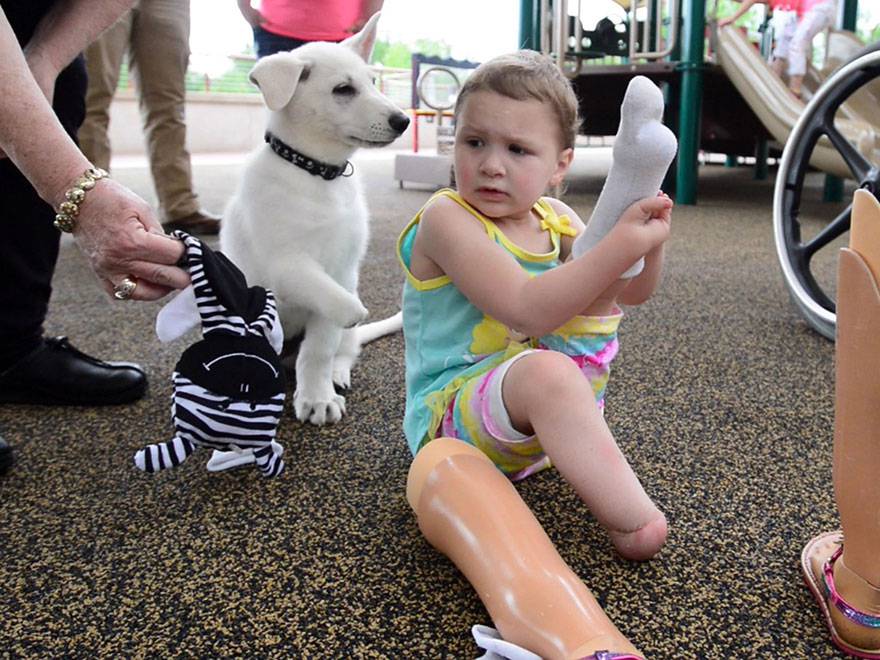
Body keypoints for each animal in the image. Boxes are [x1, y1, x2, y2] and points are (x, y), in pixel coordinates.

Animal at [223, 16, 410, 428]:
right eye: (343, 89)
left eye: (373, 82)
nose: (403, 120)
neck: (316, 174)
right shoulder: (285, 263)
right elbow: (336, 301)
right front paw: (352, 311)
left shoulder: (342, 269)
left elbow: (320, 349)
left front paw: (317, 397)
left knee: (345, 351)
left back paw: (337, 374)